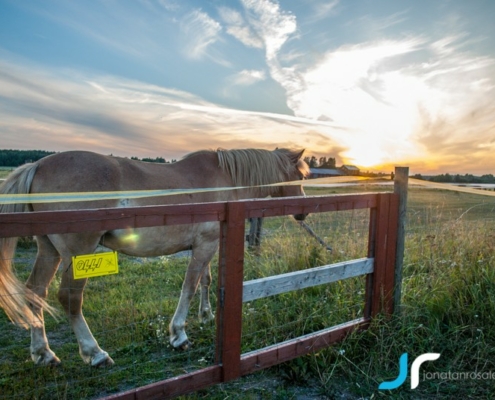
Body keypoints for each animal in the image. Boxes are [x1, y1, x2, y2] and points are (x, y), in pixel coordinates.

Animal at [0, 147, 308, 366]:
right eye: (303, 176)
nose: (303, 211)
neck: (225, 181)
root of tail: (38, 165)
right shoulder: (205, 245)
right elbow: (189, 286)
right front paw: (179, 335)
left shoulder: (207, 244)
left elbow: (206, 280)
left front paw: (206, 315)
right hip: (79, 255)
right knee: (69, 298)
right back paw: (95, 353)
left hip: (48, 250)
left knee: (35, 292)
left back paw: (43, 354)